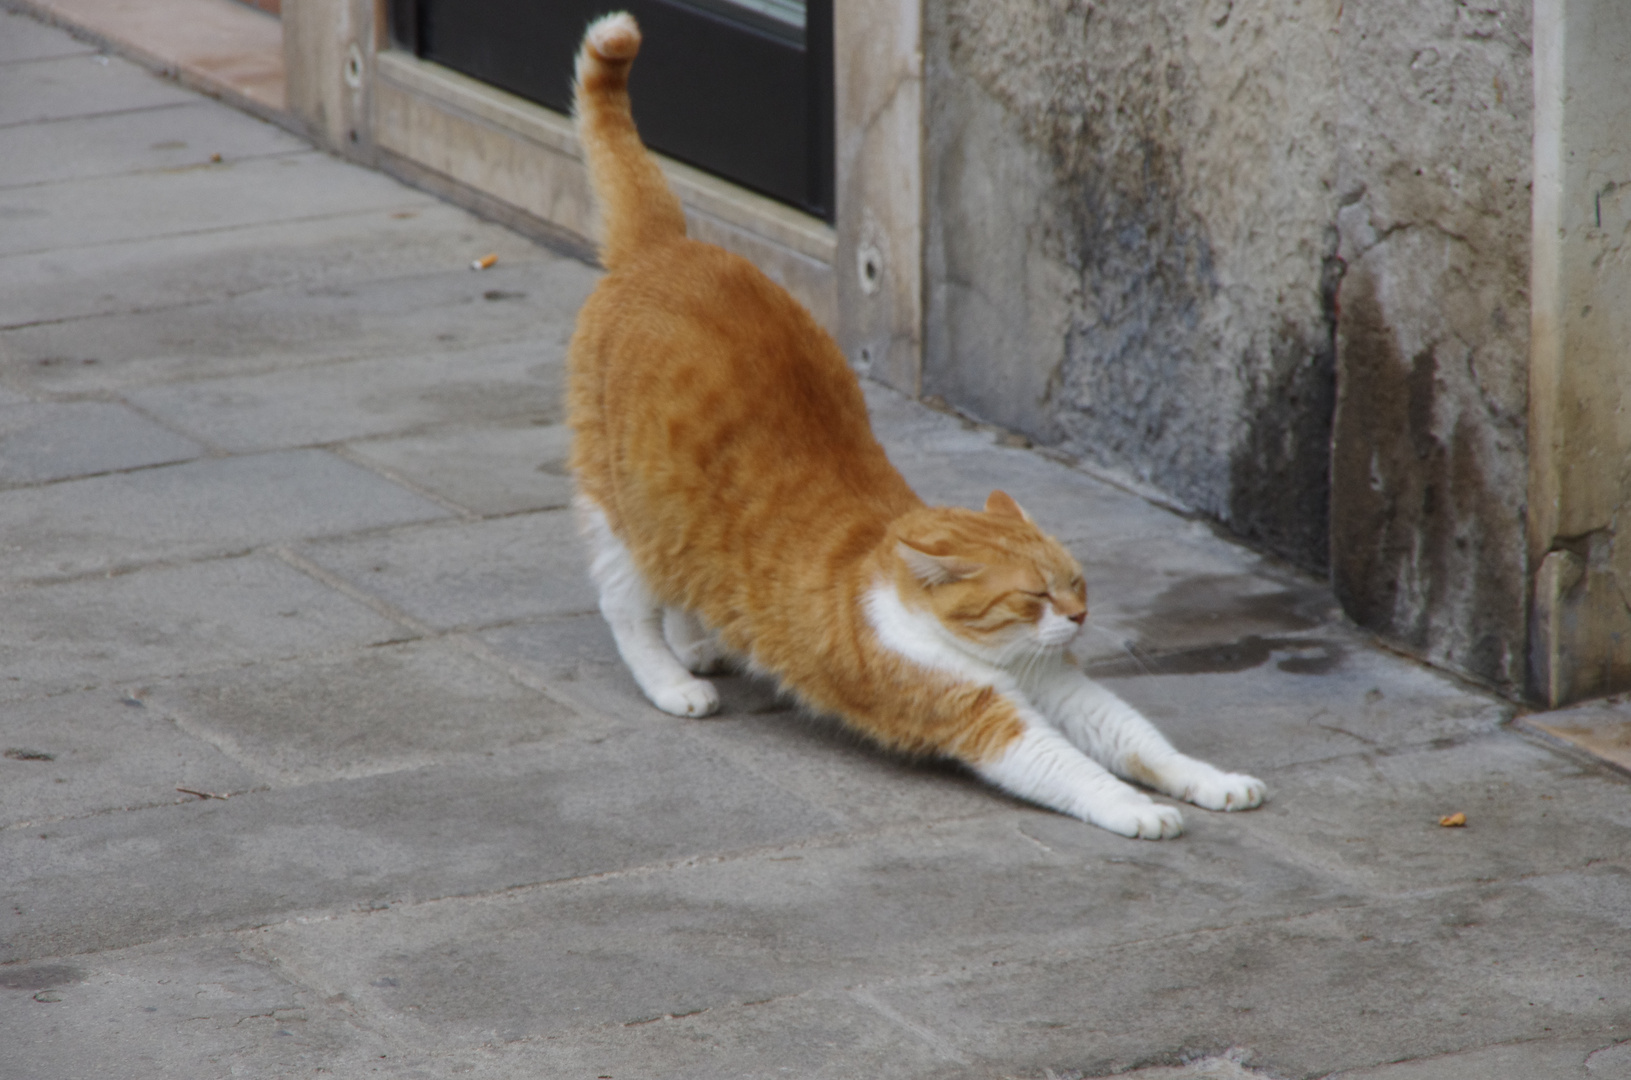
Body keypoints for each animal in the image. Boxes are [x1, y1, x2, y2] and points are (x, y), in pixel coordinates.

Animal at [567, 12, 1265, 841]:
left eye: (1075, 583)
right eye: (1033, 597)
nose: (1082, 615)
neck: (988, 654)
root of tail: (666, 247)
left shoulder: (1065, 689)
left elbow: (1140, 740)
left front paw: (1212, 782)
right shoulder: (987, 720)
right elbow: (1076, 770)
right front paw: (1136, 811)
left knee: (678, 580)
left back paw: (699, 642)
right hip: (621, 504)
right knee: (624, 601)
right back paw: (672, 679)